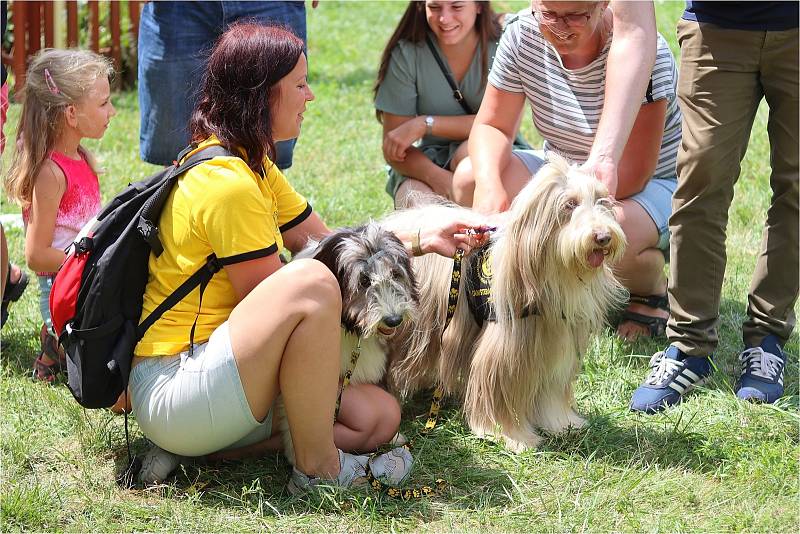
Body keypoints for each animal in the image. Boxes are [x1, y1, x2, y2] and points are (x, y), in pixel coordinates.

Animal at [280, 223, 422, 464]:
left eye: (395, 274)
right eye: (364, 281)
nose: (394, 319)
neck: (350, 327)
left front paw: (394, 437)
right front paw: (294, 453)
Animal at [380, 153, 624, 454]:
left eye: (603, 201)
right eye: (570, 204)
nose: (603, 237)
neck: (549, 273)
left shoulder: (553, 341)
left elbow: (551, 391)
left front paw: (562, 423)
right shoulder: (504, 349)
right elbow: (498, 393)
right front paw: (512, 436)